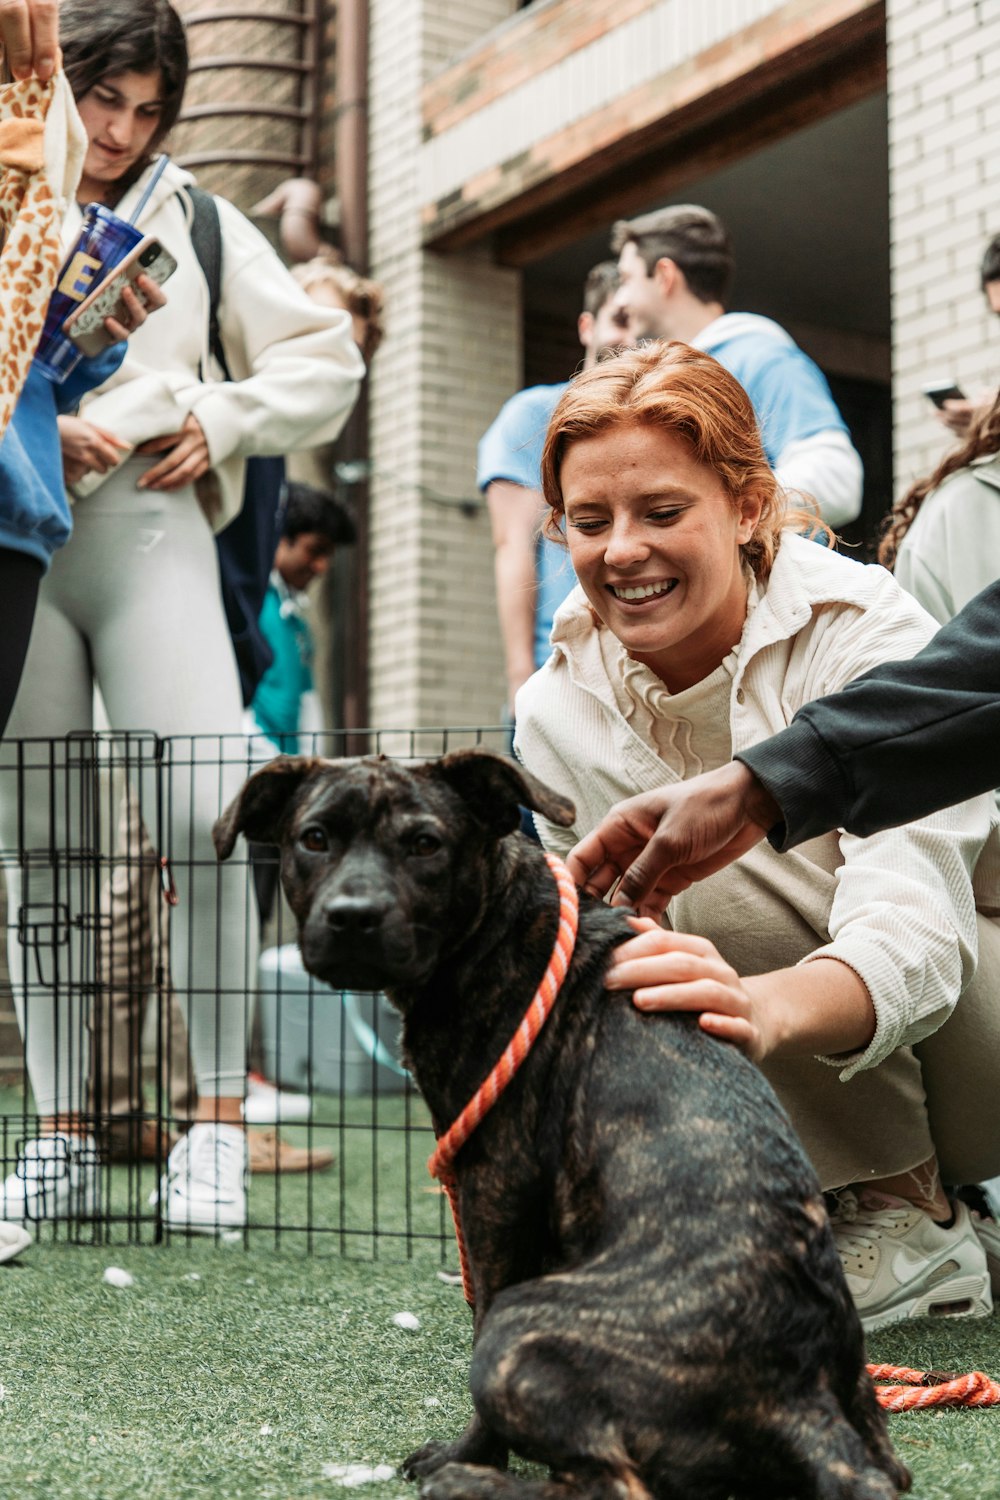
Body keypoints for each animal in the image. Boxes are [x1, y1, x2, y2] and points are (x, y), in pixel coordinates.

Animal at [215, 750, 911, 1500]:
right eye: (314, 838)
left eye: (425, 844)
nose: (353, 916)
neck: (496, 921)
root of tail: (800, 1393)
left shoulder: (493, 1183)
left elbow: (480, 1320)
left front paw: (466, 1454)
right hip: (866, 1424)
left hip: (519, 1330)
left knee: (609, 1485)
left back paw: (465, 1480)